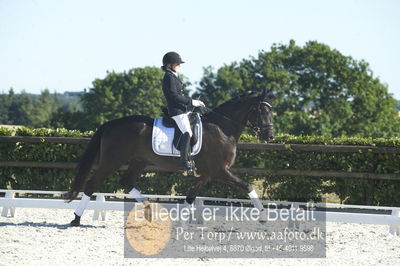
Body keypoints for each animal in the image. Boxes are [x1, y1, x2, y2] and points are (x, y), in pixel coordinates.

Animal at [68, 89, 276, 224]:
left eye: (271, 110)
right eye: (262, 111)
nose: (270, 136)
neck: (222, 128)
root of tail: (111, 123)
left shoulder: (206, 174)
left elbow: (190, 196)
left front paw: (180, 221)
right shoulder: (220, 171)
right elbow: (247, 186)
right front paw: (263, 215)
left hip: (139, 161)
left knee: (126, 182)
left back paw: (149, 210)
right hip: (112, 161)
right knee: (92, 184)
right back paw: (76, 218)